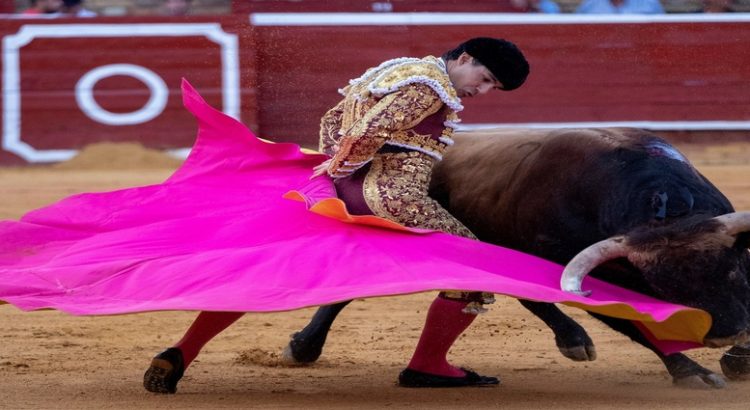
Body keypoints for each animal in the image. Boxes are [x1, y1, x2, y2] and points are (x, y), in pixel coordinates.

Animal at [280, 127, 750, 388]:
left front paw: (736, 361)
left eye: (733, 273)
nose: (723, 334)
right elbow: (639, 324)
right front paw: (693, 372)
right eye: (664, 287)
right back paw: (303, 347)